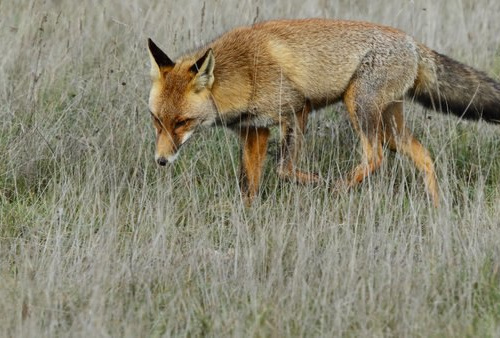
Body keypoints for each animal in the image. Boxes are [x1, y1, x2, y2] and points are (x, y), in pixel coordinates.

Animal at [146, 18, 500, 206]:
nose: (160, 161)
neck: (244, 71)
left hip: (359, 107)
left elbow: (284, 170)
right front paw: (247, 215)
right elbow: (249, 183)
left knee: (374, 157)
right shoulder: (254, 129)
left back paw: (339, 187)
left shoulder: (295, 110)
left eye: (182, 122)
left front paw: (316, 182)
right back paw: (437, 208)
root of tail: (413, 42)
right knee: (424, 156)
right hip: (390, 127)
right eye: (156, 120)